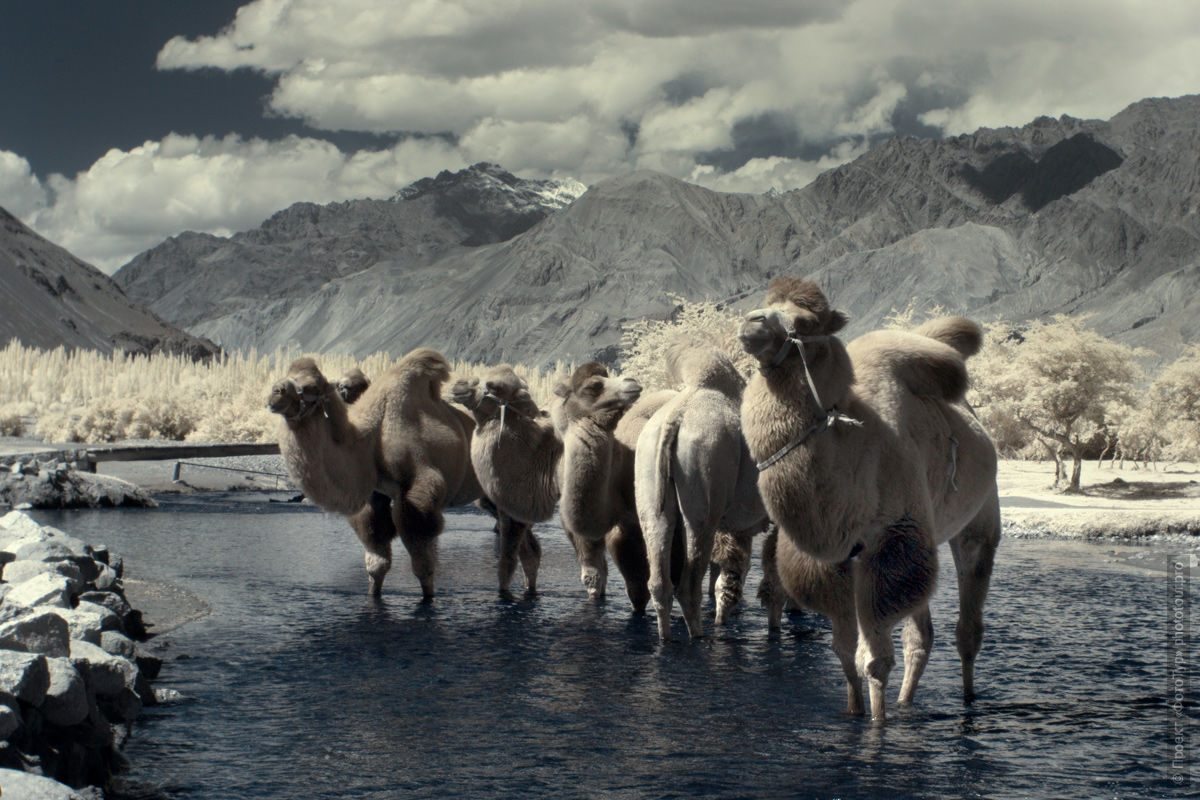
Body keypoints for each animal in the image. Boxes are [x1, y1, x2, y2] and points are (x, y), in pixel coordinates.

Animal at [267, 350, 482, 599]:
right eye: (288, 374)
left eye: (310, 386)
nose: (275, 393)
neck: (371, 439)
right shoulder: (375, 495)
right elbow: (376, 562)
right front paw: (373, 594)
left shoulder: (417, 489)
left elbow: (423, 565)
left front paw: (428, 598)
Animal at [451, 367, 561, 597]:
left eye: (492, 386)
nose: (458, 385)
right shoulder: (515, 510)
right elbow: (530, 554)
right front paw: (530, 590)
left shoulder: (517, 510)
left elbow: (508, 561)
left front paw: (505, 595)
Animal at [552, 362, 676, 614]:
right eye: (593, 386)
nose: (631, 381)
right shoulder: (576, 530)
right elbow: (593, 576)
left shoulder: (632, 525)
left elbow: (638, 590)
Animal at [638, 343, 768, 638]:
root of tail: (675, 418)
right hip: (706, 479)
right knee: (689, 580)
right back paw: (697, 636)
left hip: (649, 482)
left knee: (659, 578)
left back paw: (665, 637)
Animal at [739, 278, 1003, 724]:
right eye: (765, 303)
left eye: (806, 322)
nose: (751, 323)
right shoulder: (836, 559)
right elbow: (844, 652)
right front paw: (854, 712)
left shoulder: (891, 541)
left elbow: (875, 659)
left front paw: (876, 725)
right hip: (925, 538)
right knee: (922, 635)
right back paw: (906, 702)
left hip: (977, 522)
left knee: (967, 627)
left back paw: (967, 701)